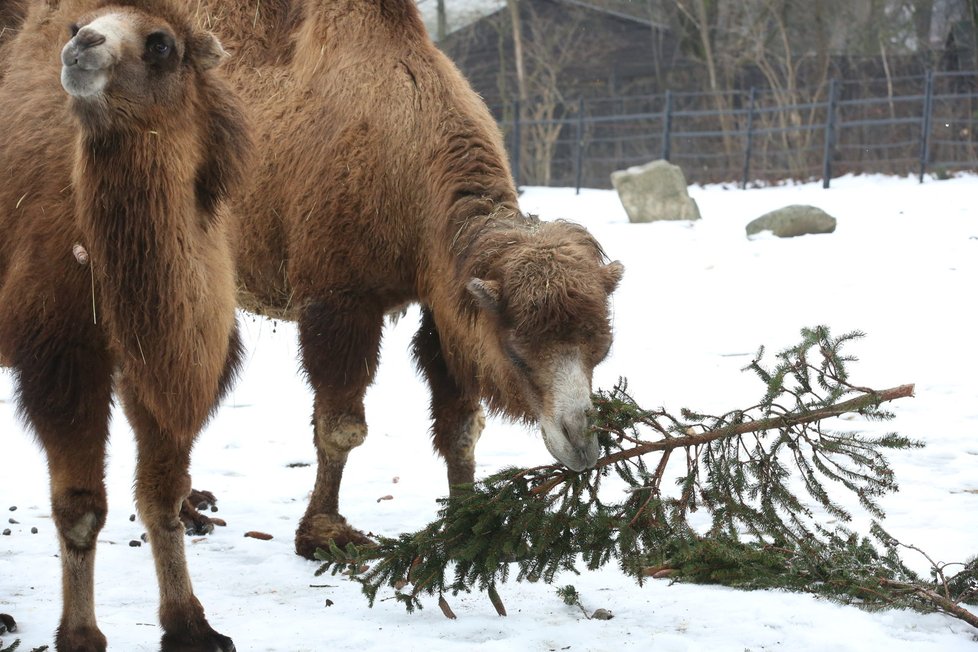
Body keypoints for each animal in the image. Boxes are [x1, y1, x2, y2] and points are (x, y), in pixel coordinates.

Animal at [1, 1, 252, 652]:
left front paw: (191, 624)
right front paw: (81, 634)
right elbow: (81, 508)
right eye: (76, 25)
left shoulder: (172, 362)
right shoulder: (62, 354)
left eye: (161, 43)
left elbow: (162, 495)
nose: (81, 45)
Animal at [190, 0, 620, 560]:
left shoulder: (446, 297)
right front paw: (325, 534)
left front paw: (467, 522)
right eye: (517, 352)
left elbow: (461, 425)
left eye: (601, 350)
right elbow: (341, 427)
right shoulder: (338, 296)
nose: (582, 443)